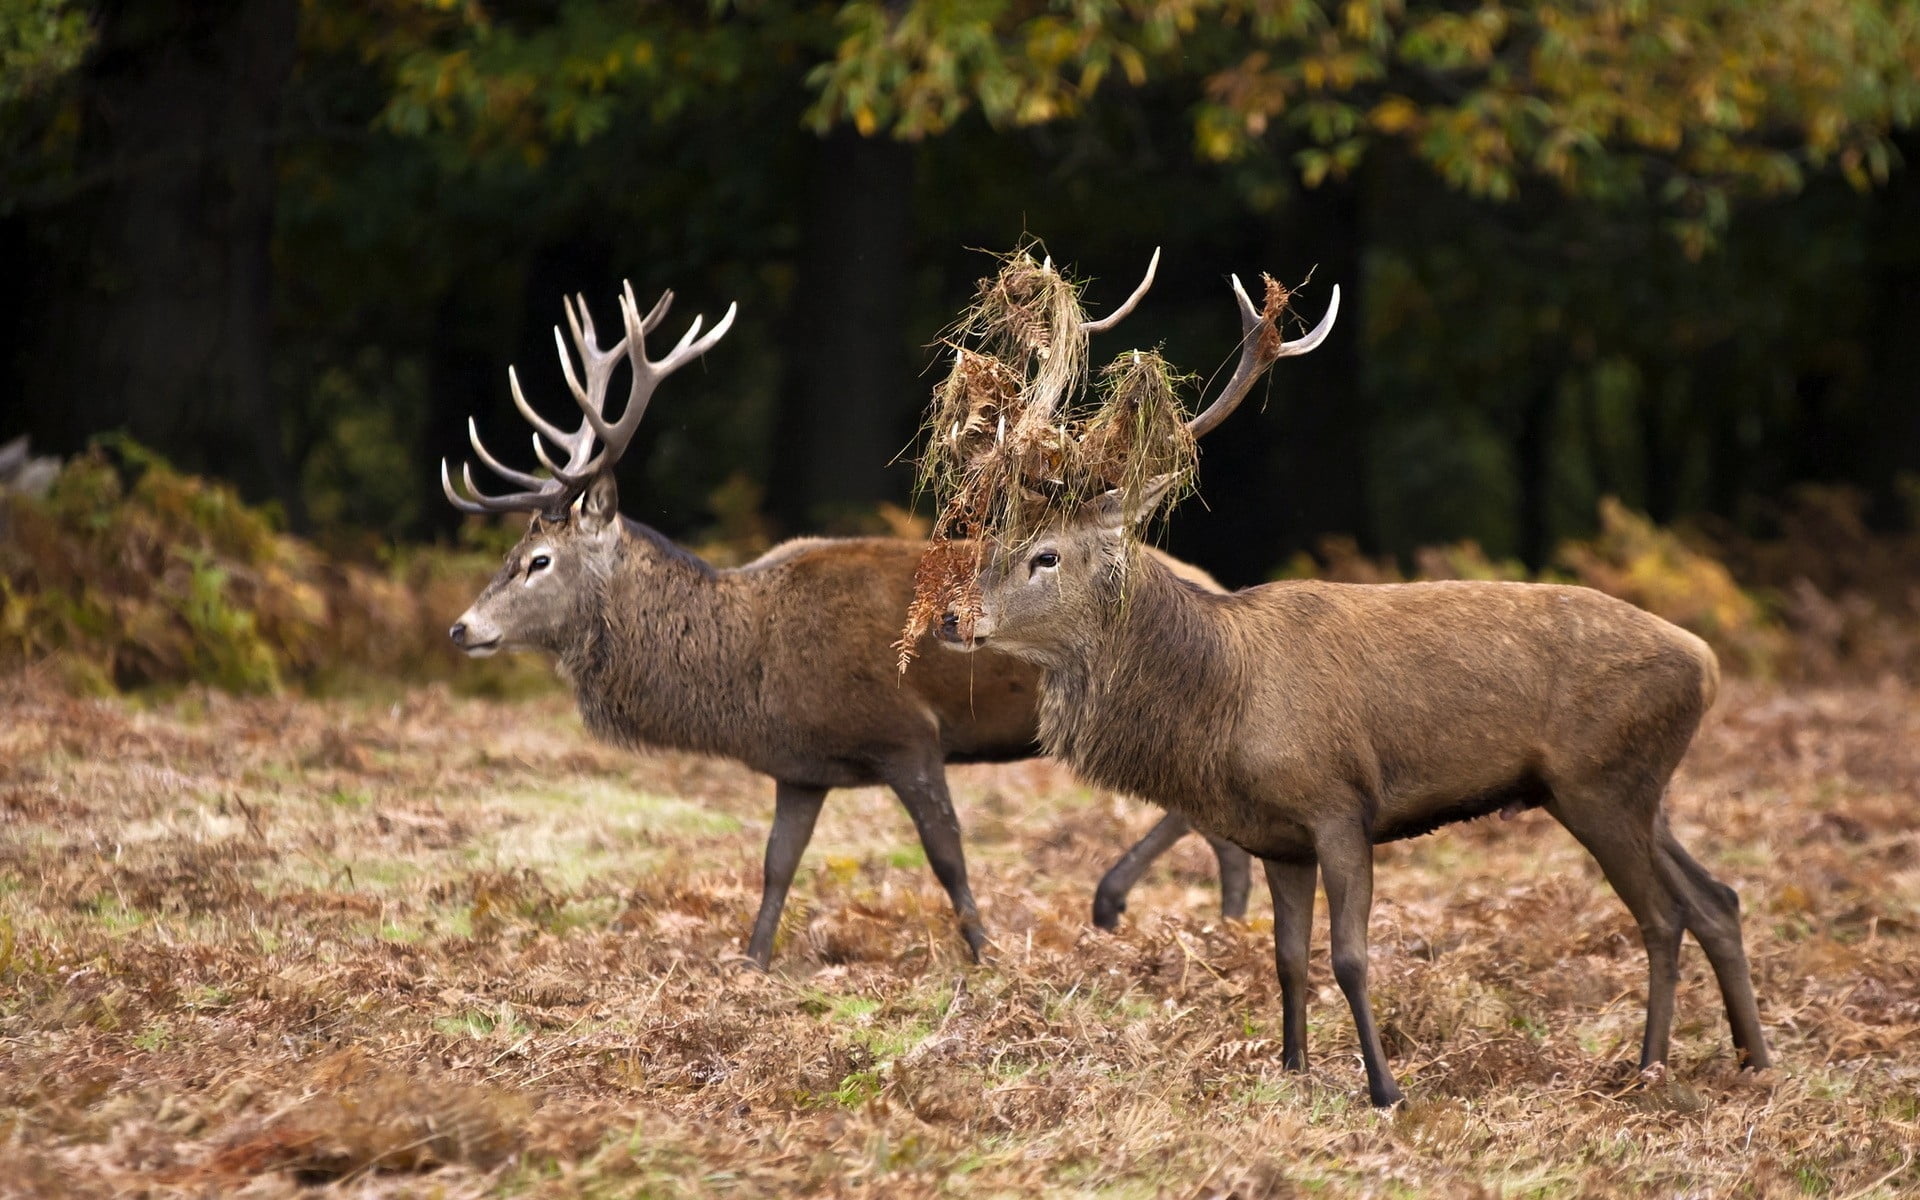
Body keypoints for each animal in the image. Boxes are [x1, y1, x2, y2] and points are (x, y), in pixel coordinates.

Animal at [437, 274, 1251, 963]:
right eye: (514, 553)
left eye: (539, 561)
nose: (462, 628)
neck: (750, 674)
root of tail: (1215, 587)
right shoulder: (800, 766)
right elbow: (776, 865)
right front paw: (752, 963)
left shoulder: (906, 732)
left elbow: (948, 857)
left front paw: (986, 954)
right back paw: (1220, 929)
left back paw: (1128, 904)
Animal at [929, 264, 1766, 1105]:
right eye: (992, 539)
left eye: (1046, 555)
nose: (950, 616)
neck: (1221, 697)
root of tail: (1706, 662)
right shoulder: (1277, 838)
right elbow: (1287, 958)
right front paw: (1293, 1068)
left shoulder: (1339, 804)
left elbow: (1350, 957)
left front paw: (1386, 1090)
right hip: (1630, 789)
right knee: (1717, 900)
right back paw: (1754, 1059)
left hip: (1600, 782)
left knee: (1663, 917)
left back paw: (1650, 1069)